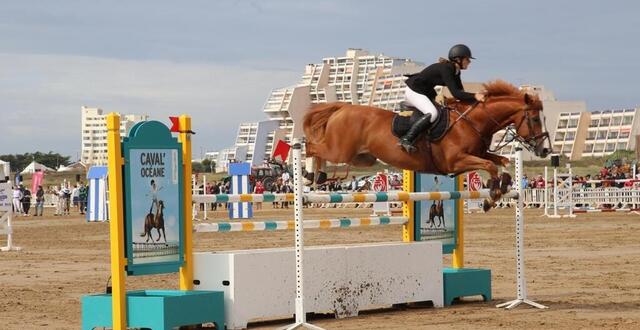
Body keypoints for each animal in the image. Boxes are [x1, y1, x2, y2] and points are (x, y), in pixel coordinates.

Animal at [304, 80, 552, 209]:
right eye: (534, 119)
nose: (545, 150)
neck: (472, 122)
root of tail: (343, 107)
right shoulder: (455, 162)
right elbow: (491, 166)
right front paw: (492, 195)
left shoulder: (479, 153)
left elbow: (503, 162)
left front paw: (501, 188)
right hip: (340, 151)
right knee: (312, 146)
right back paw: (309, 177)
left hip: (362, 158)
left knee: (320, 151)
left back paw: (320, 176)